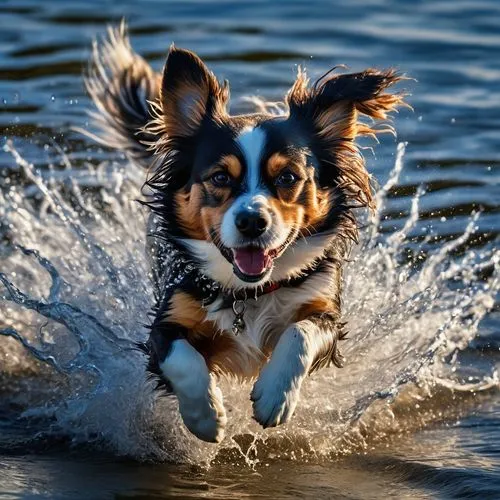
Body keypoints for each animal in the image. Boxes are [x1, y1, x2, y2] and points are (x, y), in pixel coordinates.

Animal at [86, 24, 406, 442]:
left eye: (288, 177)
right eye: (220, 177)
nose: (252, 221)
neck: (249, 292)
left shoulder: (325, 310)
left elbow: (300, 334)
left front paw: (275, 397)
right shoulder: (167, 319)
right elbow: (181, 358)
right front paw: (206, 416)